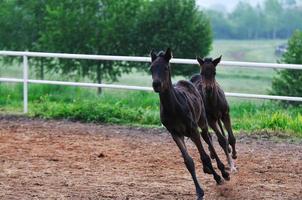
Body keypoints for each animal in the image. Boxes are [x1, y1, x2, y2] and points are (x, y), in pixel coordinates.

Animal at [149, 48, 229, 200]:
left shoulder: (193, 129)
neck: (173, 108)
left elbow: (205, 156)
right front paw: (199, 191)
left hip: (202, 121)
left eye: (166, 68)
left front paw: (219, 177)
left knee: (208, 139)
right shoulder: (175, 133)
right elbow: (188, 162)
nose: (156, 84)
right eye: (151, 68)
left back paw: (222, 171)